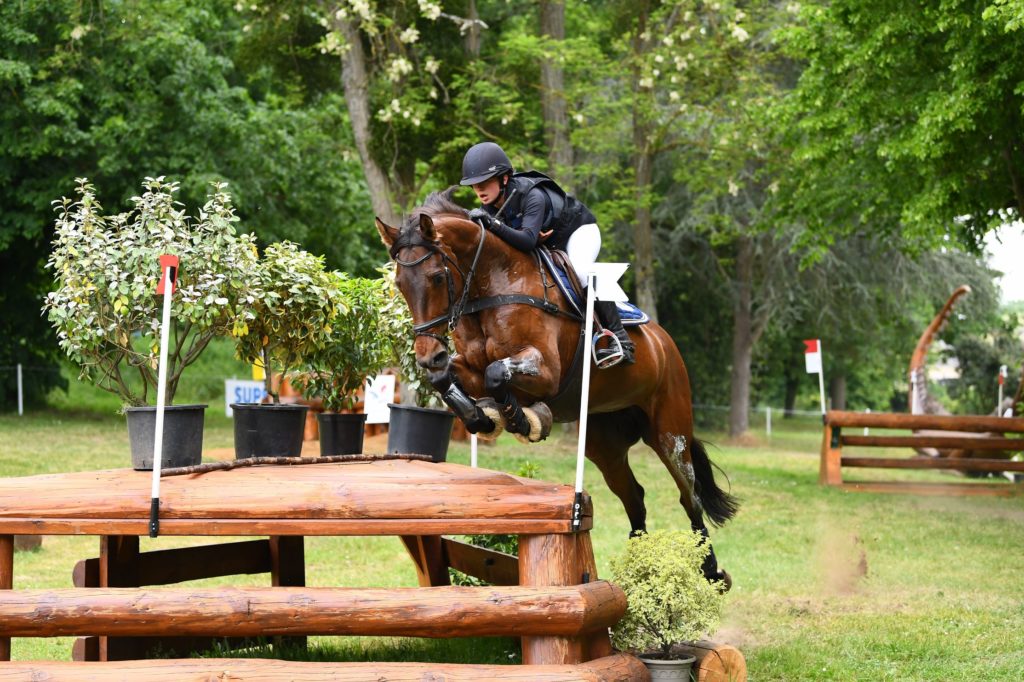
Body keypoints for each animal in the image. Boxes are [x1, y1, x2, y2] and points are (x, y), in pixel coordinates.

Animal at [376, 187, 737, 585]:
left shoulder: (545, 369)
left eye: (438, 277)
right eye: (400, 284)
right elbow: (453, 378)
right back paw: (636, 569)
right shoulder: (468, 365)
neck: (493, 283)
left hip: (670, 432)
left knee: (690, 496)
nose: (429, 355)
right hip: (603, 443)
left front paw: (522, 420)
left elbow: (497, 374)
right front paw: (483, 417)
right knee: (634, 496)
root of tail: (665, 343)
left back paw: (710, 571)